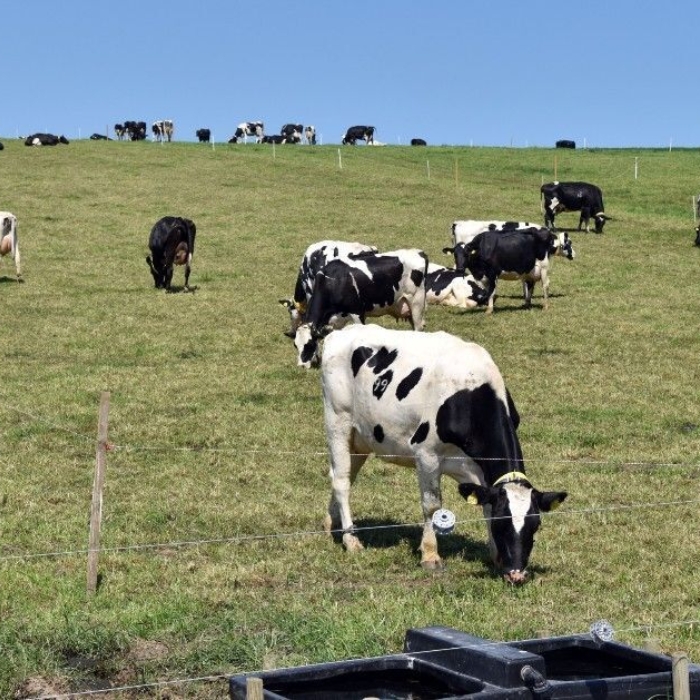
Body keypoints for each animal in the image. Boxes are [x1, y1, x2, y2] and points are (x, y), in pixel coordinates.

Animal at [292, 248, 429, 368]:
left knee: (418, 328)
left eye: (309, 345)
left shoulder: (357, 313)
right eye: (295, 345)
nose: (301, 366)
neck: (334, 281)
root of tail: (419, 252)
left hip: (416, 302)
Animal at [320, 323, 567, 583]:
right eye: (502, 524)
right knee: (342, 481)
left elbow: (486, 506)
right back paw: (350, 539)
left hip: (361, 439)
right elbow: (432, 506)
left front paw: (496, 556)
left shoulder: (480, 471)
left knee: (342, 476)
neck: (470, 393)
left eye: (535, 525)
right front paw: (430, 555)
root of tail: (343, 331)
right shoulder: (426, 455)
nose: (517, 574)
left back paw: (330, 524)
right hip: (338, 421)